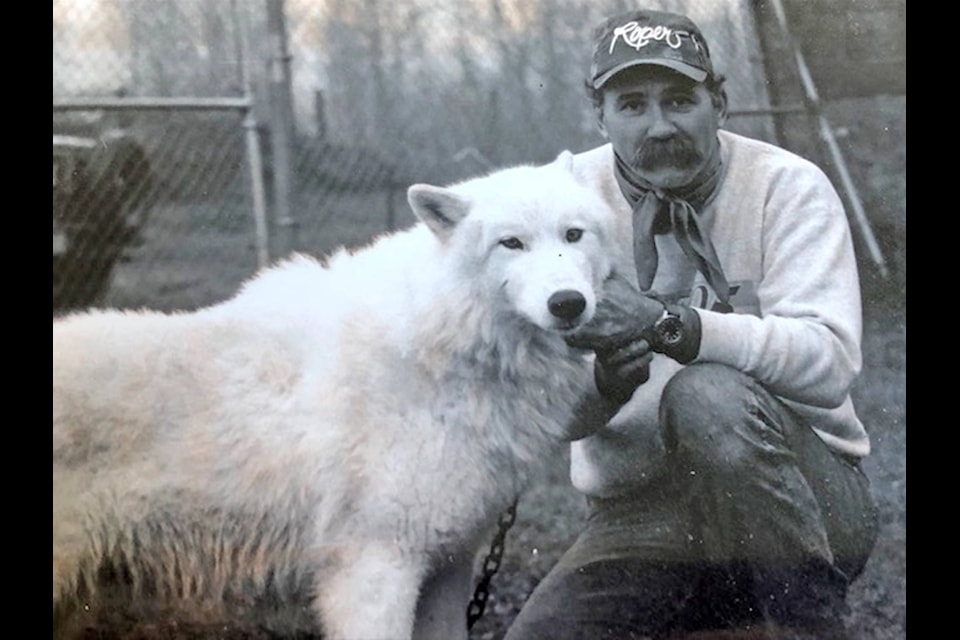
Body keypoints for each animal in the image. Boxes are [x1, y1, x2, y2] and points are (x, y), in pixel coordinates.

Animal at [52, 151, 620, 640]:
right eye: (511, 244)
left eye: (573, 234)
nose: (568, 303)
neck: (447, 347)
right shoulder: (373, 569)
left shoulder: (447, 566)